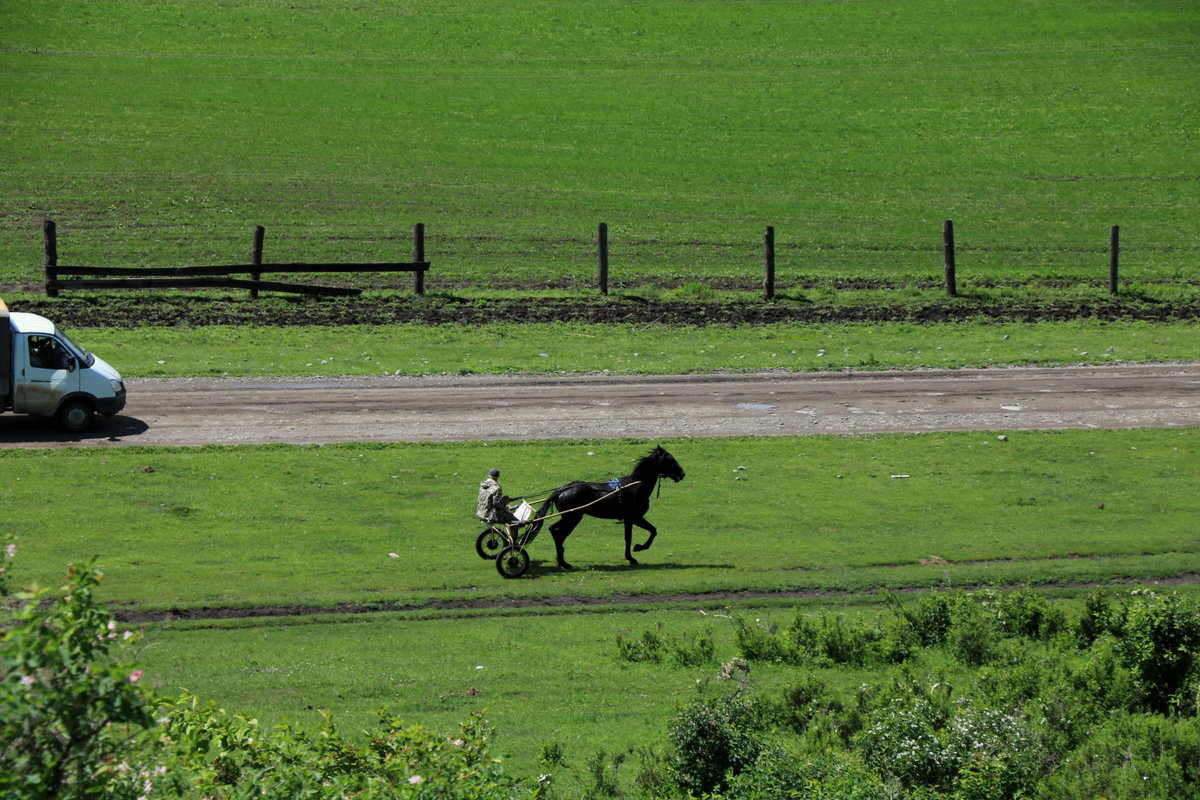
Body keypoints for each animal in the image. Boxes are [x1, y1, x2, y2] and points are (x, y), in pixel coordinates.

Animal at [535, 443, 686, 568]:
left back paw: (561, 560)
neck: (635, 486)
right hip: (573, 518)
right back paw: (563, 562)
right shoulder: (635, 517)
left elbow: (628, 538)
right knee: (558, 533)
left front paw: (630, 557)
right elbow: (653, 531)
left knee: (554, 530)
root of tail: (561, 490)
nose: (682, 474)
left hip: (569, 517)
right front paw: (639, 548)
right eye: (670, 460)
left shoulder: (628, 520)